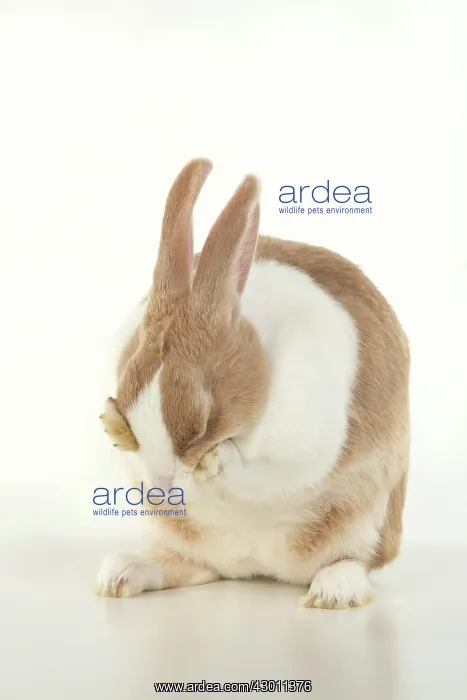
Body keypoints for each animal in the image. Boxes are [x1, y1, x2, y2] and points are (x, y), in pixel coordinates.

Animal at [96, 158, 410, 609]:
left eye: (204, 421)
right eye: (127, 393)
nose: (162, 490)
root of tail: (255, 566)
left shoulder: (302, 443)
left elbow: (258, 469)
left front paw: (216, 462)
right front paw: (111, 425)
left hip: (368, 518)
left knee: (353, 560)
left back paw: (332, 592)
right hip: (185, 540)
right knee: (197, 566)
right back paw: (122, 573)